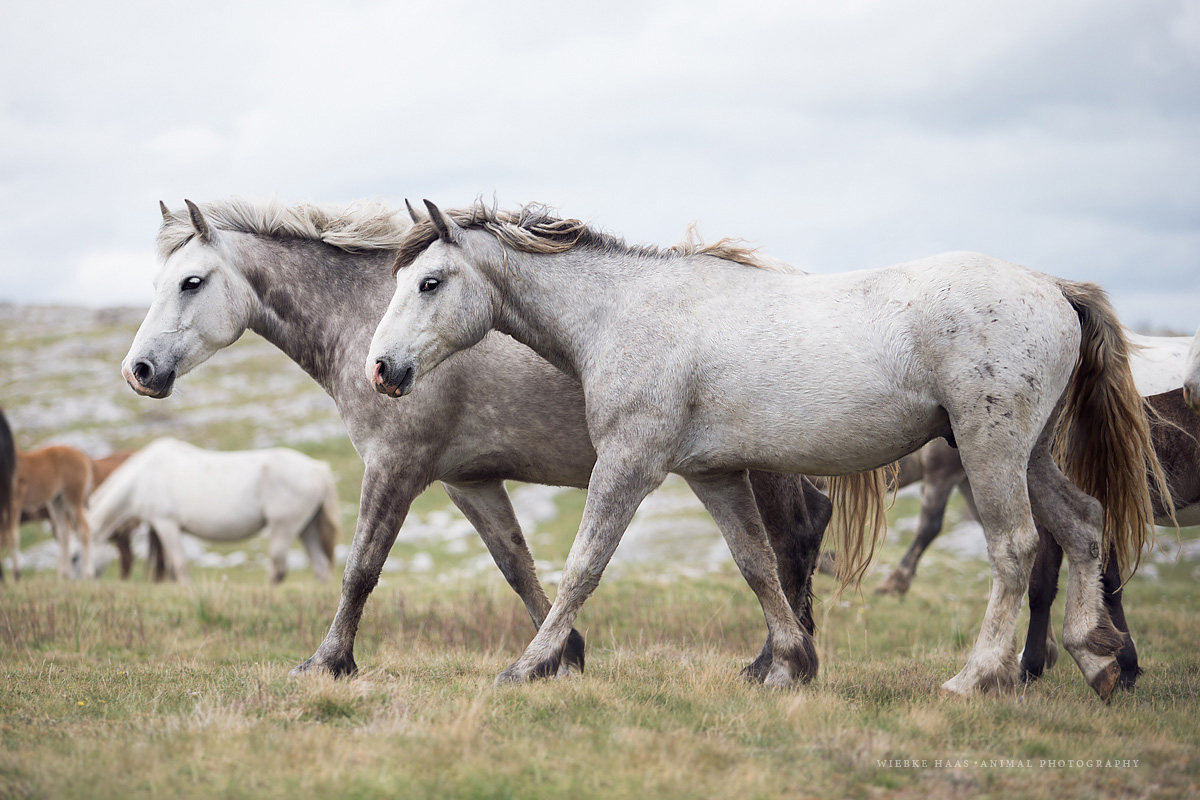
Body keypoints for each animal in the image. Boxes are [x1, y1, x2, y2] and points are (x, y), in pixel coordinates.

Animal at [11, 445, 95, 579]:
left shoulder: (14, 503)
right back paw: (64, 575)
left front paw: (16, 574)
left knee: (84, 529)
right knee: (64, 533)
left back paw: (87, 574)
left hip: (73, 498)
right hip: (57, 501)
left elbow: (12, 537)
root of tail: (84, 457)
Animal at [86, 438, 340, 583]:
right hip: (307, 528)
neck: (143, 476)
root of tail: (317, 469)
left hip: (284, 528)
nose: (86, 581)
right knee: (320, 567)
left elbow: (179, 564)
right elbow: (171, 565)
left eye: (78, 556)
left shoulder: (165, 523)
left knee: (278, 570)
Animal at [121, 199, 831, 680]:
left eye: (191, 282)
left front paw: (328, 661)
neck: (369, 319)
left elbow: (360, 569)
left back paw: (776, 662)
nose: (140, 371)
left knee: (791, 541)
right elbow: (516, 565)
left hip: (763, 460)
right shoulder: (468, 481)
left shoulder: (395, 468)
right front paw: (565, 654)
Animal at [370, 200, 1169, 698]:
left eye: (431, 282)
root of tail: (1052, 288)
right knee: (1083, 524)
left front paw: (529, 666)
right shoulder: (714, 474)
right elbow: (757, 565)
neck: (625, 312)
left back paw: (978, 677)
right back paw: (1099, 661)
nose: (382, 369)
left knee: (1015, 548)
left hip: (989, 449)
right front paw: (790, 665)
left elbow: (582, 568)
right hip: (1029, 455)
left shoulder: (630, 465)